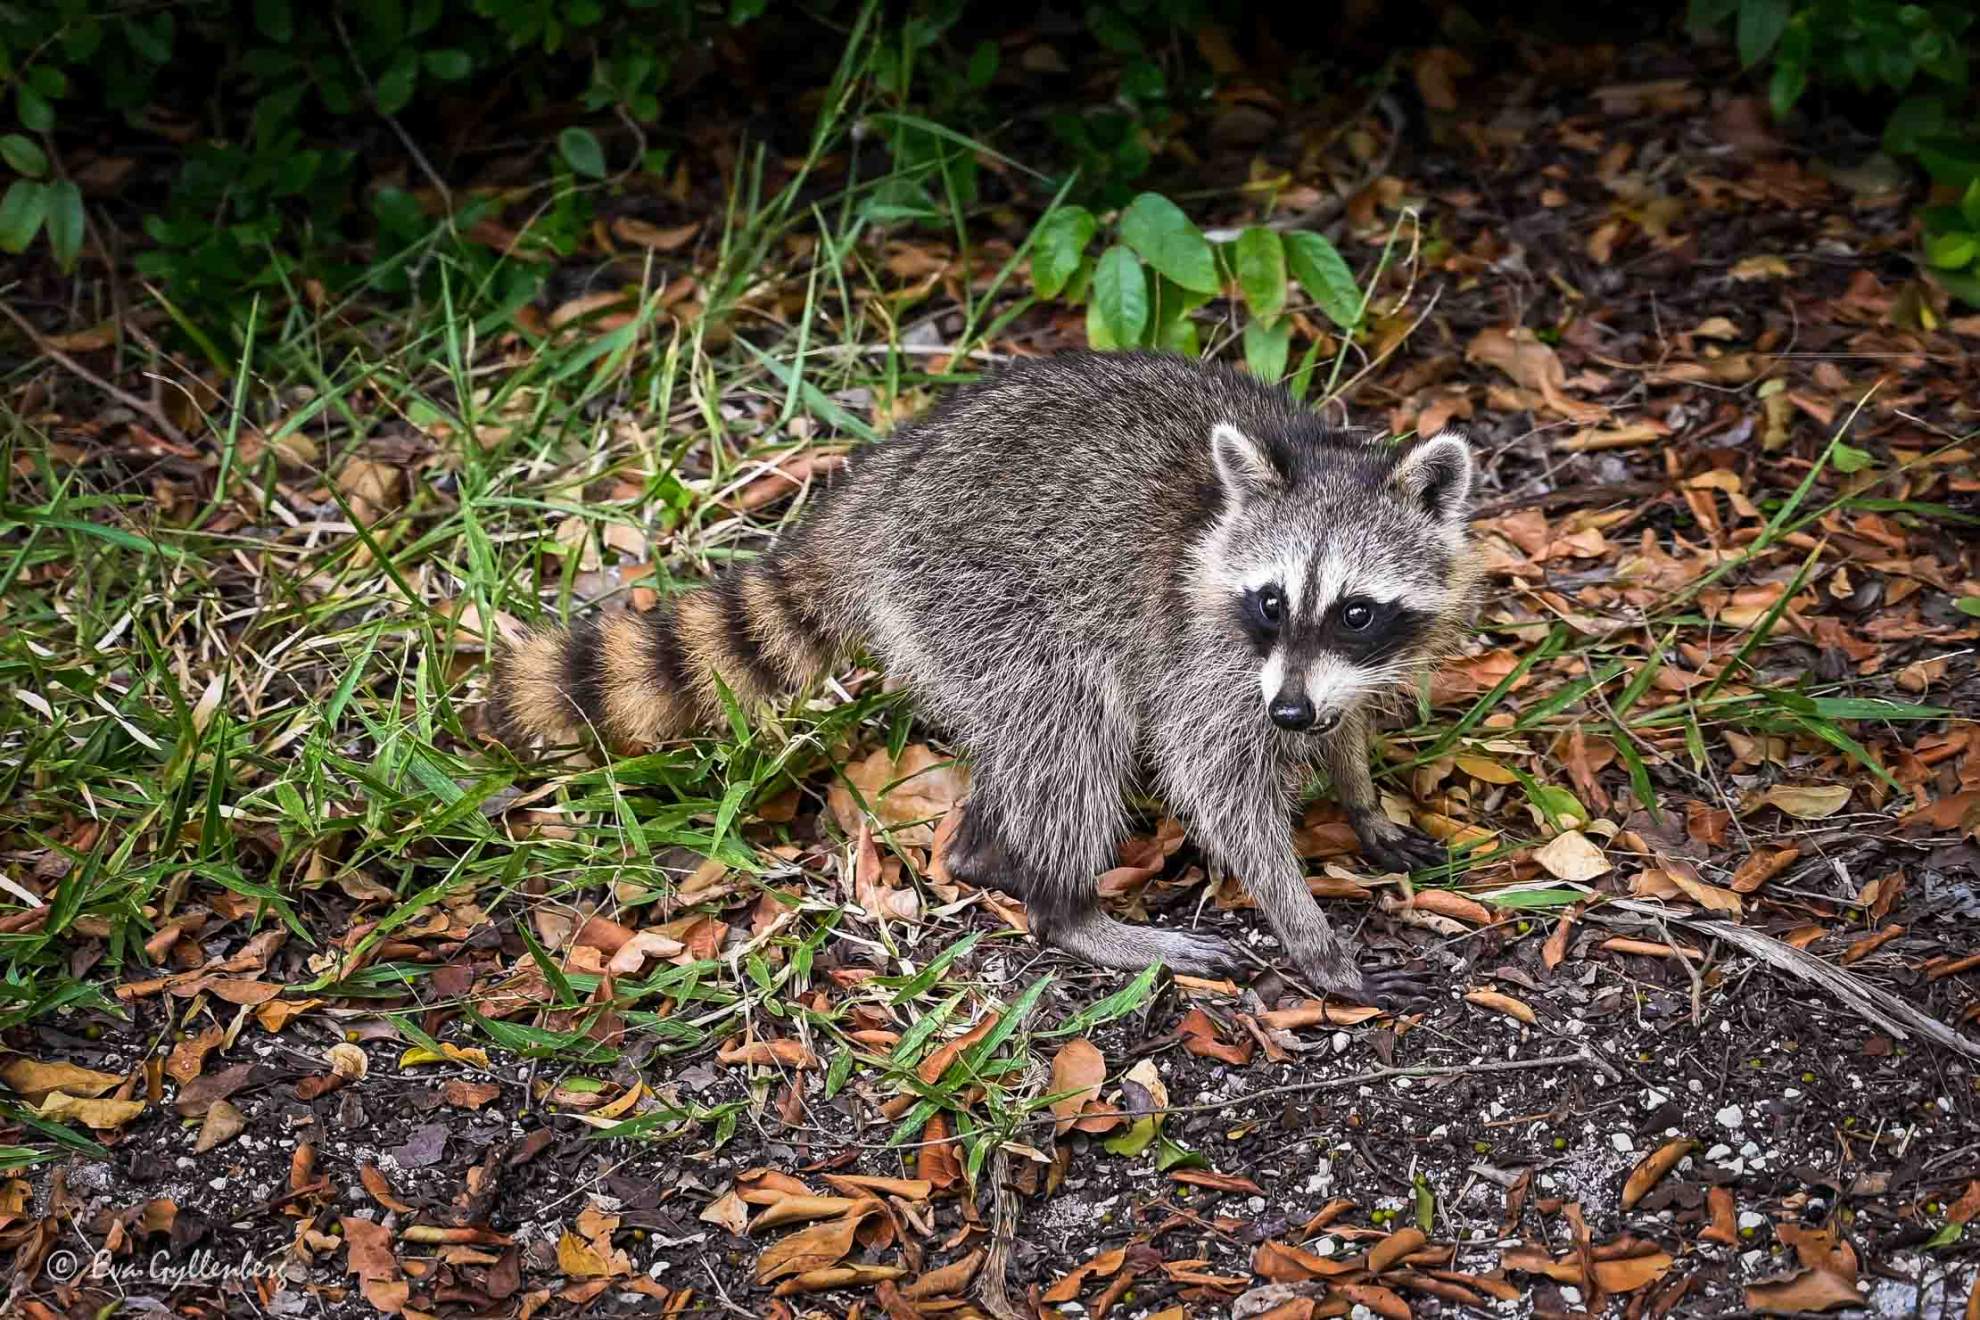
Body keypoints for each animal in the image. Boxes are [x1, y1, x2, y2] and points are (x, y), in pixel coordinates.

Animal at [495, 350, 1481, 1001]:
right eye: (1272, 602)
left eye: (1355, 611)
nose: (1290, 717)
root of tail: (871, 495)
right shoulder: (1205, 646)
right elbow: (1213, 777)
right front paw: (1308, 930)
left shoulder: (1337, 665)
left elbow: (1347, 718)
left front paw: (1359, 794)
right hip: (977, 593)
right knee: (1070, 725)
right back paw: (1067, 909)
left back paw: (987, 851)